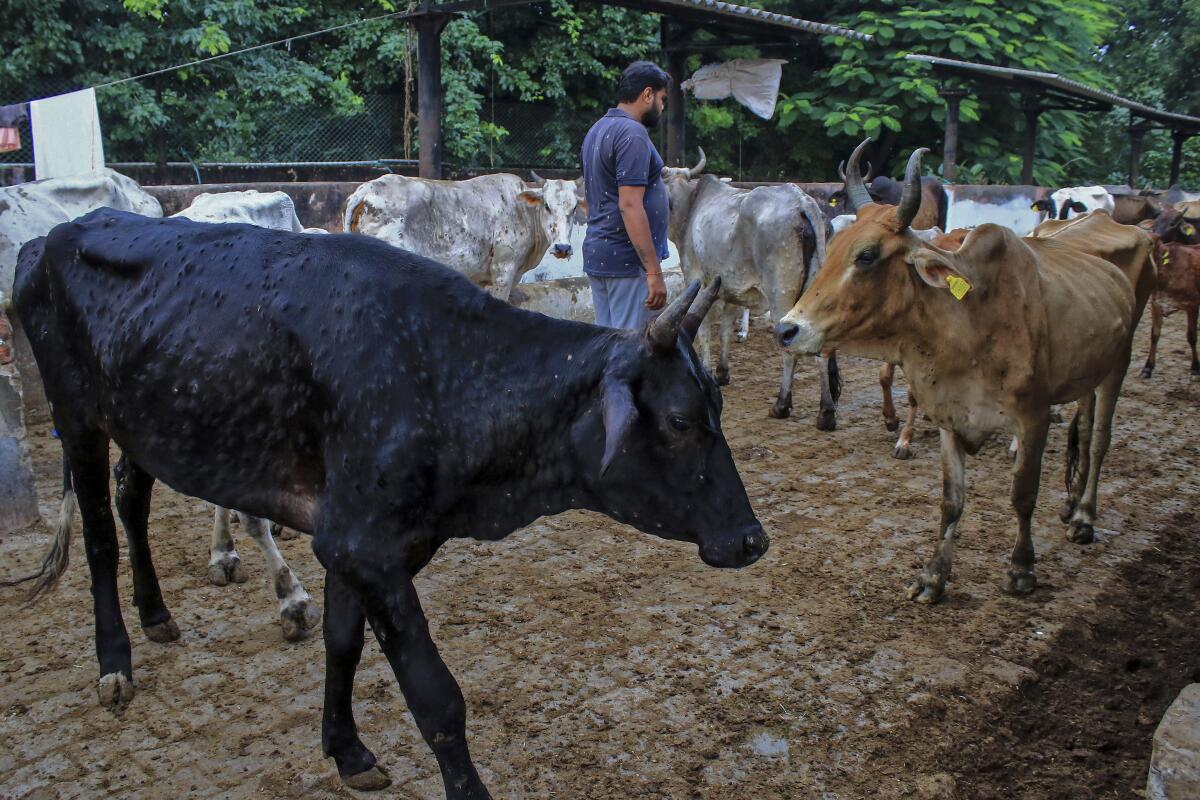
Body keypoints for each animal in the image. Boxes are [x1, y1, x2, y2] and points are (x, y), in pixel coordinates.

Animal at [11, 211, 768, 800]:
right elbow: (436, 696)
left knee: (131, 501)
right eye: (678, 420)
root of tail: (50, 237)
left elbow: (342, 643)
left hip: (145, 421)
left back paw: (156, 613)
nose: (752, 540)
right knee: (100, 534)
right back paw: (115, 662)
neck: (445, 371)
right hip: (76, 414)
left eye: (717, 405)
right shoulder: (364, 545)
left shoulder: (359, 541)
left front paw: (346, 749)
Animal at [343, 173, 585, 302]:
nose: (563, 248)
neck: (523, 211)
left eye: (574, 208)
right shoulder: (503, 271)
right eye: (547, 205)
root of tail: (368, 188)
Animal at [777, 145, 1152, 606]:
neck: (968, 323)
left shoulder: (1033, 417)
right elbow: (951, 500)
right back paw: (1070, 502)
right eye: (829, 251)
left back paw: (1083, 516)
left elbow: (1023, 494)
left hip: (1119, 362)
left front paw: (1021, 569)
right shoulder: (950, 417)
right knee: (1082, 427)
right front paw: (933, 577)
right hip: (1087, 372)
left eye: (866, 256)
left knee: (1099, 440)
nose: (788, 329)